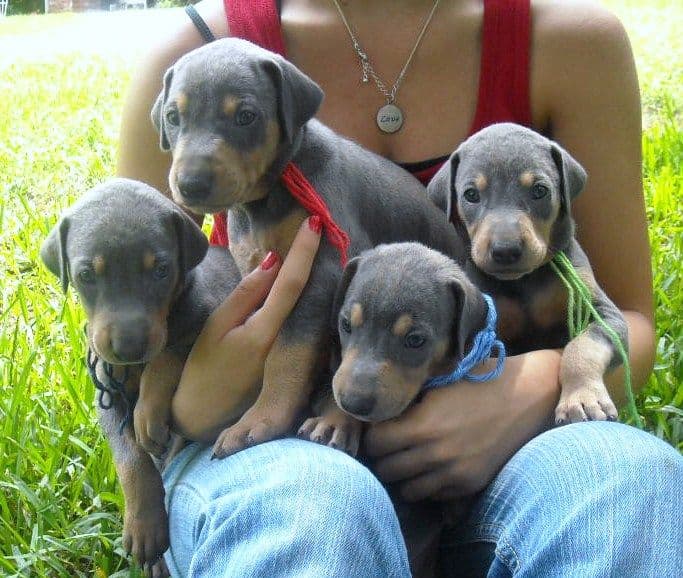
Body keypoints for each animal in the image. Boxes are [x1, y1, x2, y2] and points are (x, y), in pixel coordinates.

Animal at [40, 178, 242, 572]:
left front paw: (147, 412)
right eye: (86, 275)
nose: (129, 347)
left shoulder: (206, 317)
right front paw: (145, 527)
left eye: (161, 270)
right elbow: (130, 458)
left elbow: (167, 354)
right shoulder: (106, 395)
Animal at [152, 38, 468, 456]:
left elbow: (288, 353)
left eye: (246, 116)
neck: (266, 200)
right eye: (173, 116)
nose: (190, 185)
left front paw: (261, 419)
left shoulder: (322, 273)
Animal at [430, 124, 628, 424]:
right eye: (471, 195)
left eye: (539, 190)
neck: (524, 282)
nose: (505, 251)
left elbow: (582, 346)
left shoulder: (606, 315)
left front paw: (581, 398)